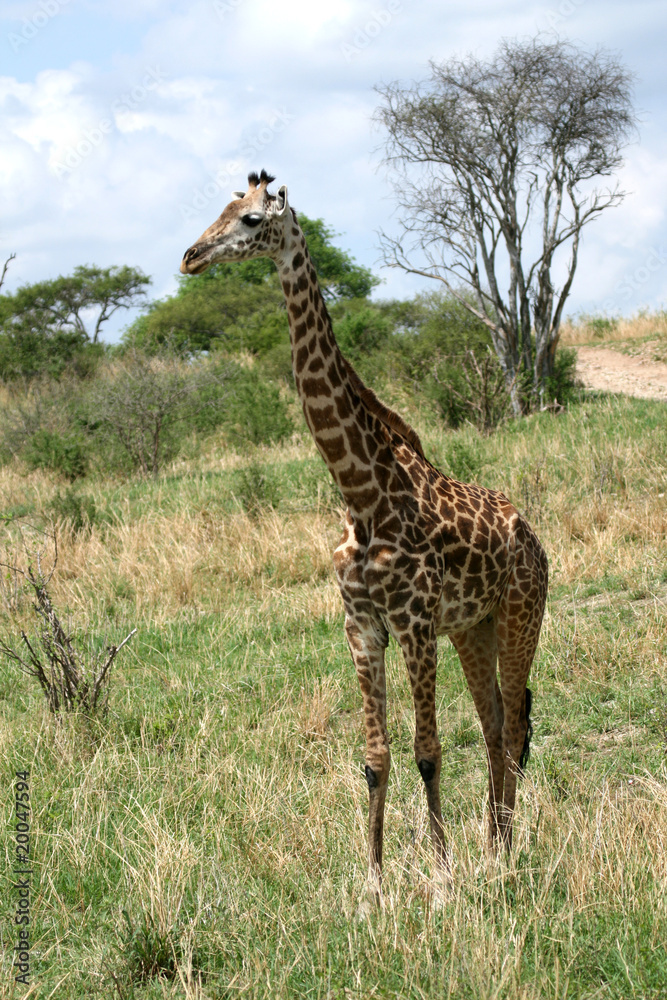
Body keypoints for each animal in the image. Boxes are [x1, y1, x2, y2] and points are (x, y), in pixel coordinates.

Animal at [181, 170, 548, 895]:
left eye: (251, 220)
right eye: (223, 207)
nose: (190, 257)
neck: (360, 492)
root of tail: (537, 541)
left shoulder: (412, 624)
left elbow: (427, 751)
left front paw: (441, 879)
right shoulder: (361, 626)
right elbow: (376, 757)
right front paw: (373, 885)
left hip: (520, 613)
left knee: (517, 720)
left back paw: (504, 852)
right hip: (472, 626)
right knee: (495, 721)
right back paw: (495, 846)